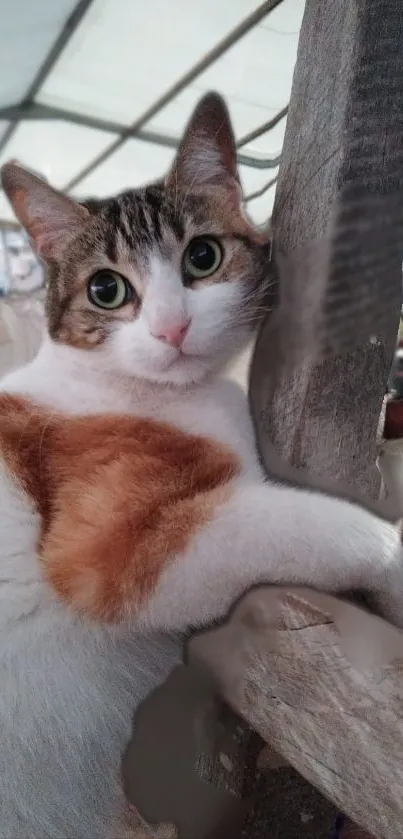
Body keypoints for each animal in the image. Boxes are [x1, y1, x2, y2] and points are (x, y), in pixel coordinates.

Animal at [0, 95, 403, 836]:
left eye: (203, 257)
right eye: (107, 289)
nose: (172, 328)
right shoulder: (113, 553)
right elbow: (316, 521)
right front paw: (394, 558)